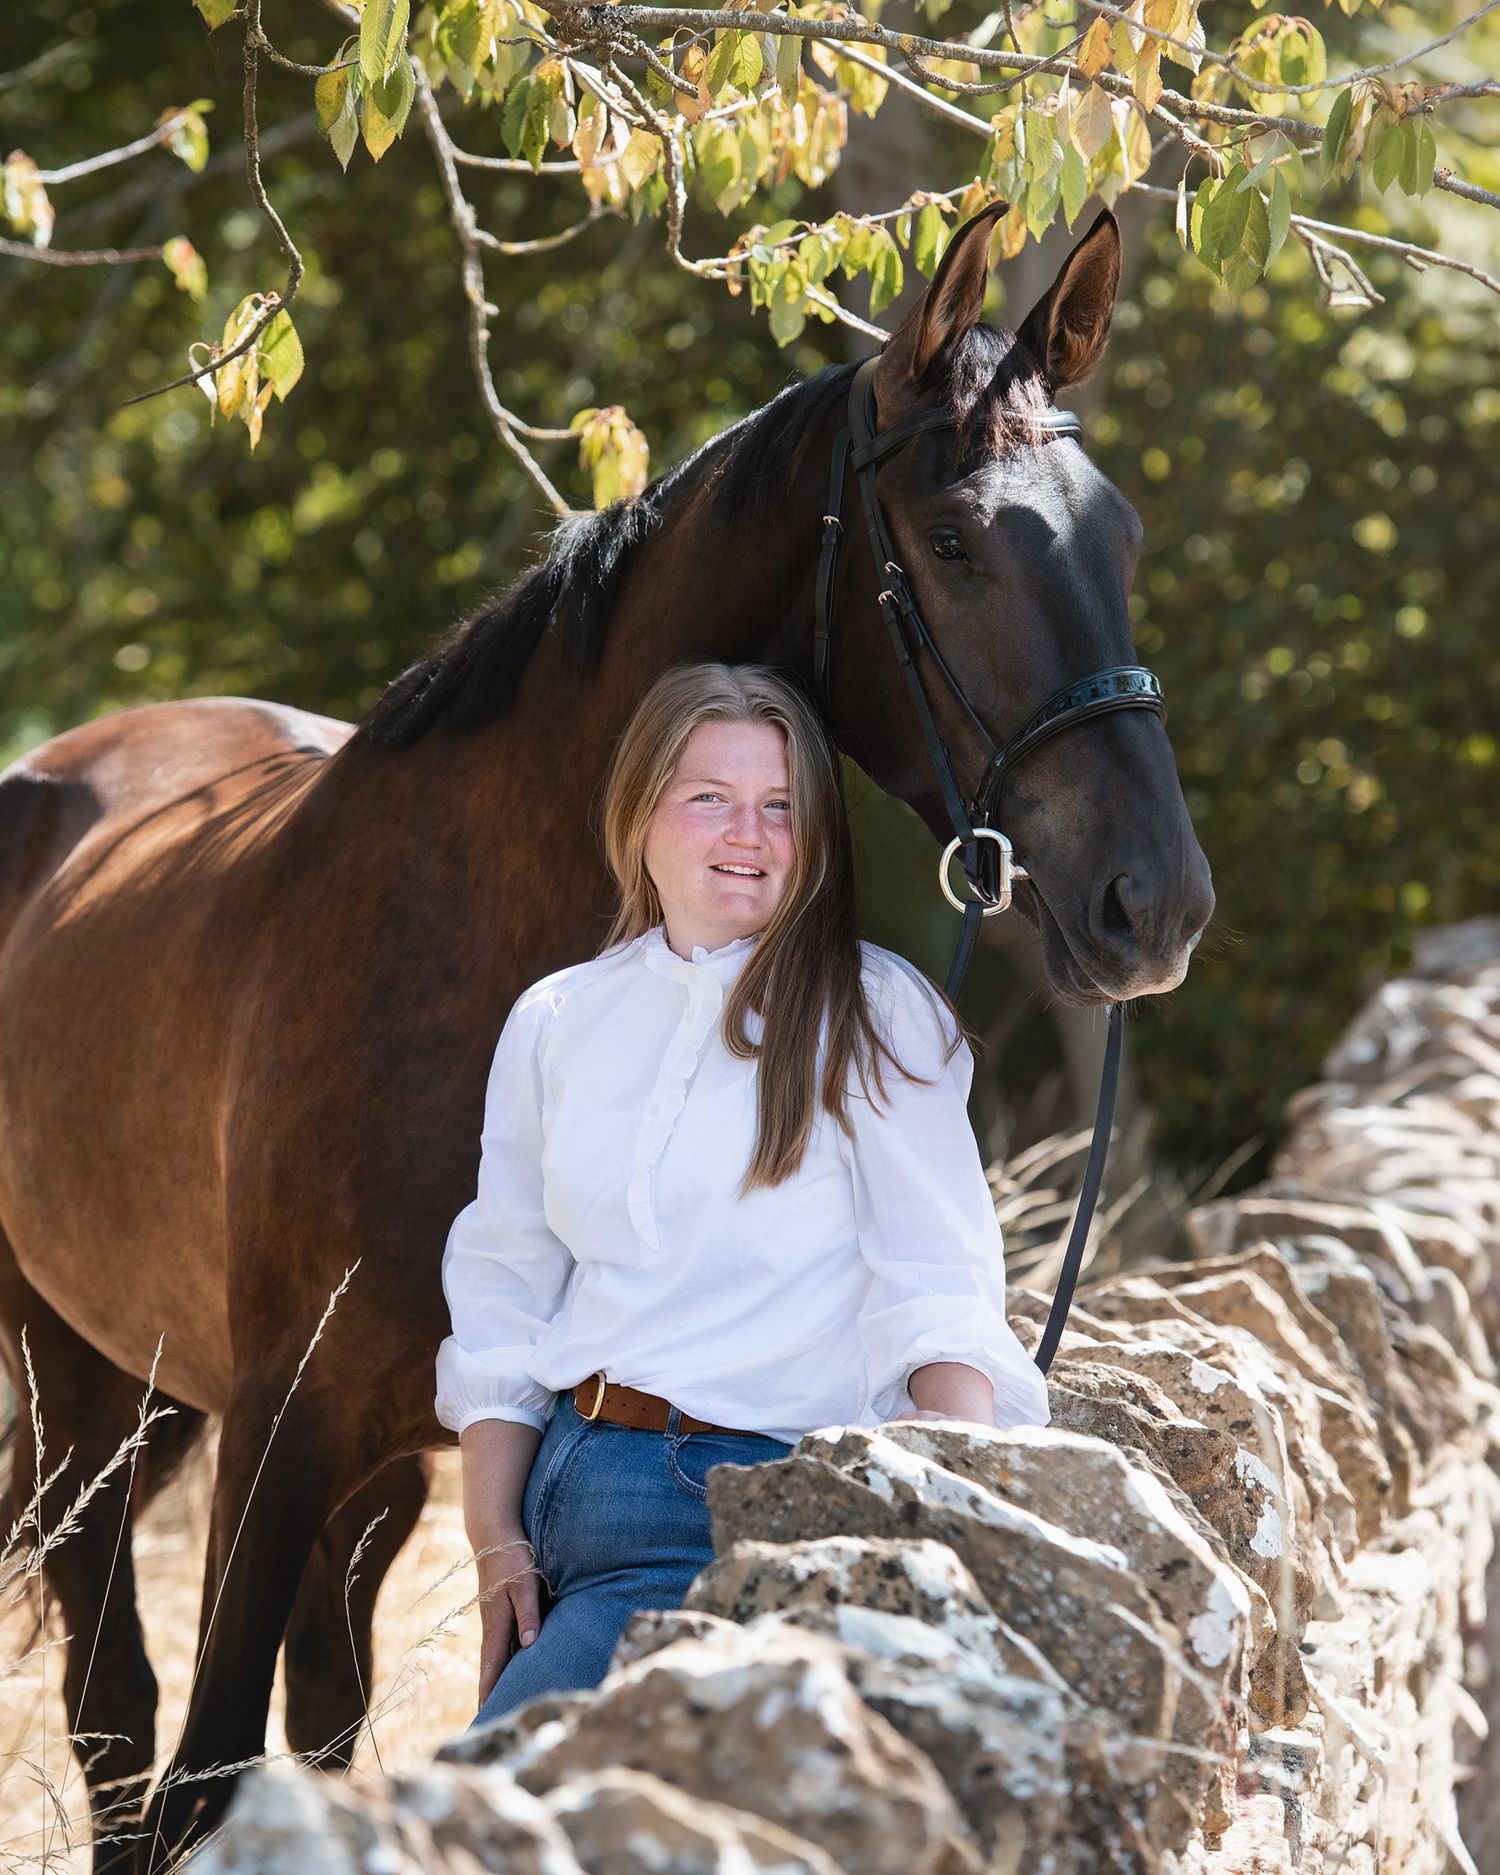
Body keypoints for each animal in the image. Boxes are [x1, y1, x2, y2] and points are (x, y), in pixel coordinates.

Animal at [0, 202, 1213, 1870]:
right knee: (117, 1708)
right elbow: (199, 1769)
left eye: (1124, 538)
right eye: (958, 541)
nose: (1154, 904)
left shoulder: (396, 1448)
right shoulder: (279, 1429)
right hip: (79, 1376)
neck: (461, 942)